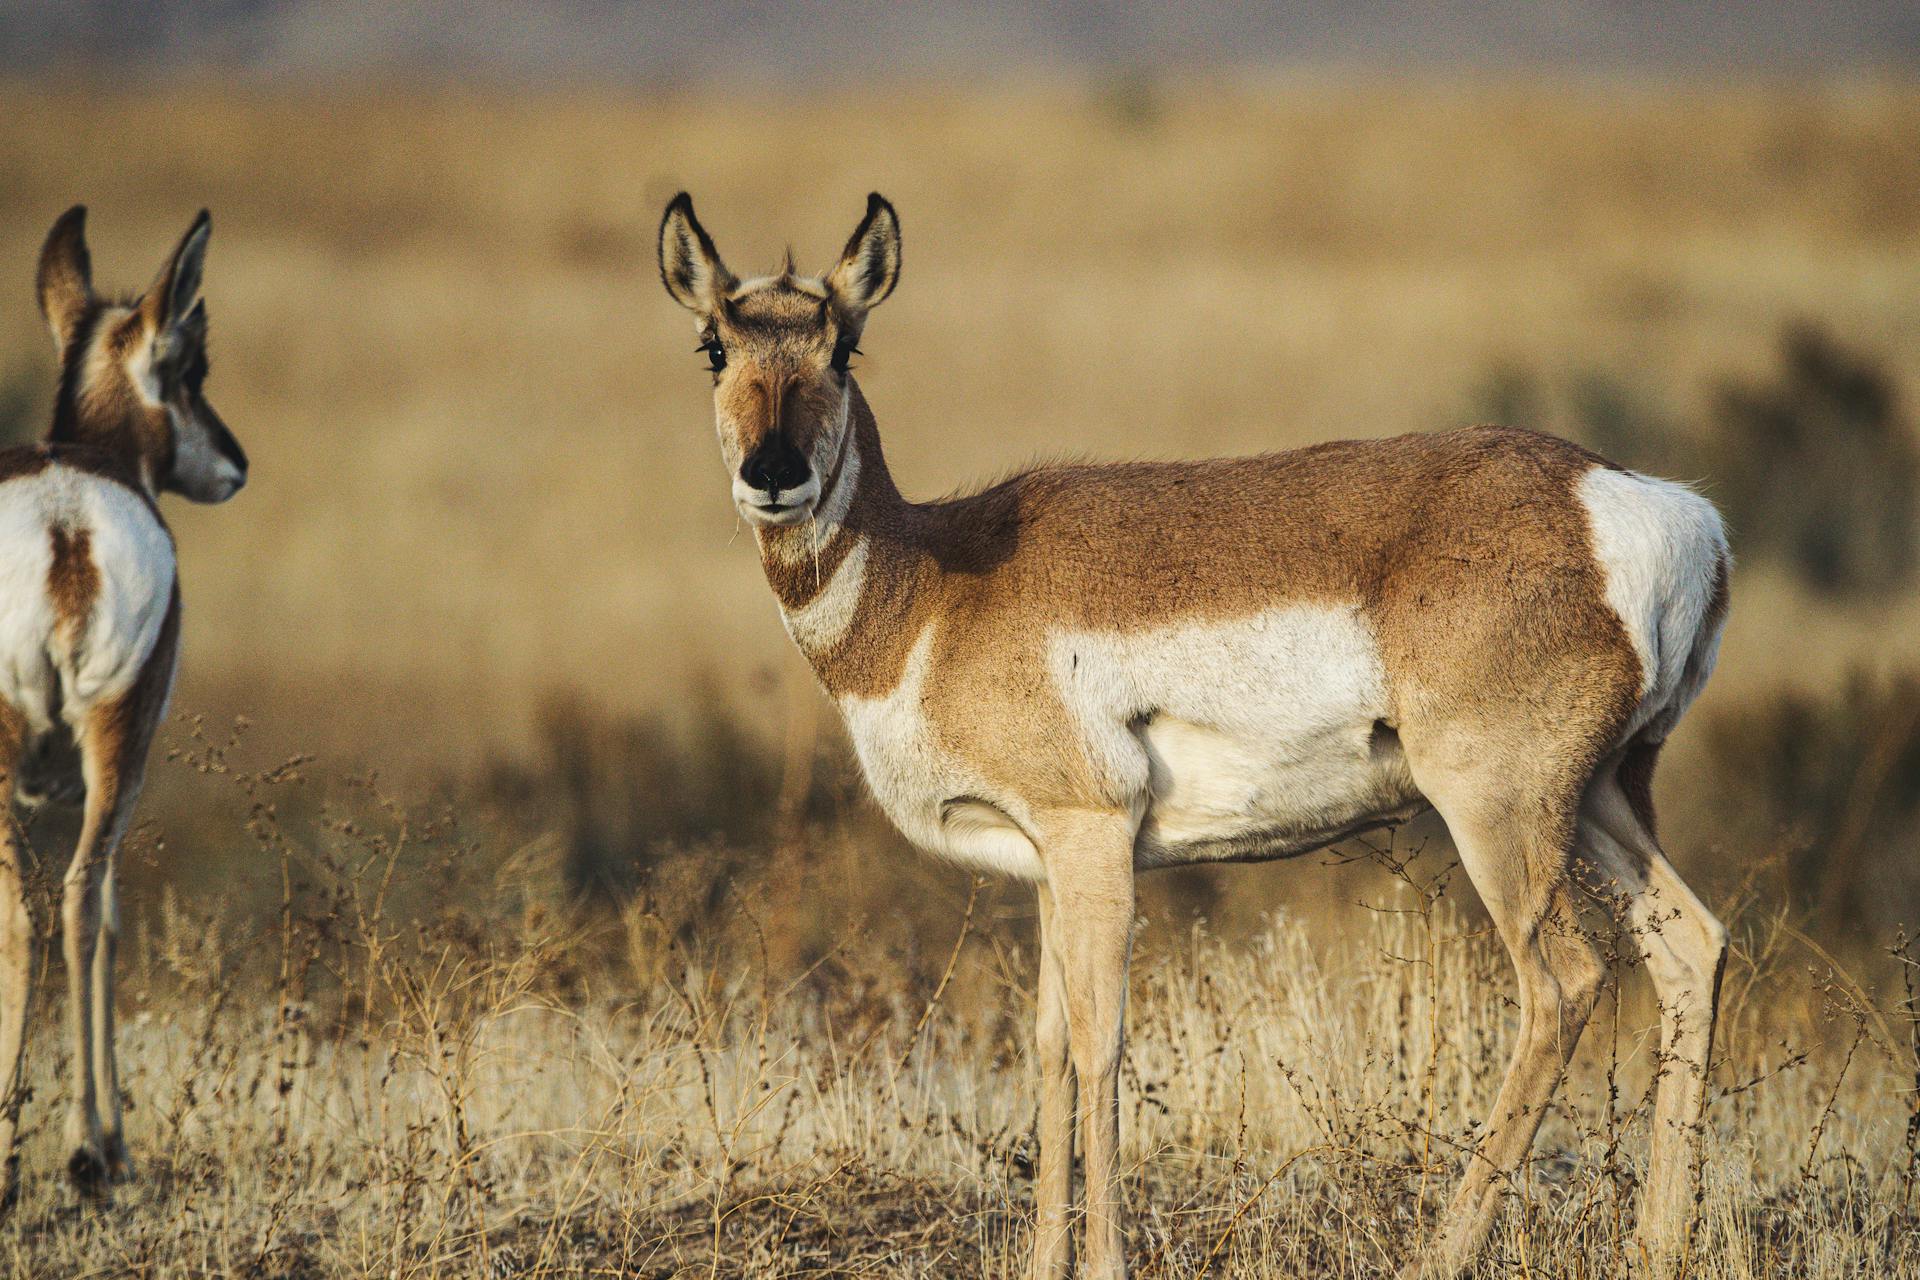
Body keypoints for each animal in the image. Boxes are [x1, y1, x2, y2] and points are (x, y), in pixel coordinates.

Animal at [657, 192, 1730, 1279]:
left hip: (1499, 811)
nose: (774, 473)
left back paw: (1444, 1251)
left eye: (842, 346)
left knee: (1564, 983)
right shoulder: (1047, 861)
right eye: (714, 345)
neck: (933, 587)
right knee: (1693, 945)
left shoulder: (1092, 835)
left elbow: (1100, 1043)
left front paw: (1104, 1264)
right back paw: (1660, 1244)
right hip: (1602, 798)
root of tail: (1648, 507)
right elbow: (1048, 1046)